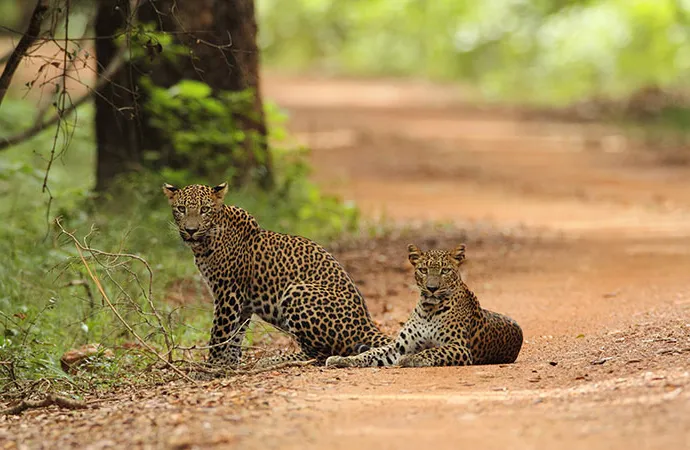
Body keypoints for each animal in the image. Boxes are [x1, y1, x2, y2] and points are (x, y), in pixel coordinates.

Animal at [159, 182, 390, 366]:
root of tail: (365, 324)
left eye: (205, 210)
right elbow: (235, 335)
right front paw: (229, 364)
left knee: (319, 354)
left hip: (297, 291)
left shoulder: (228, 293)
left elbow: (219, 332)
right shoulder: (243, 303)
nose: (190, 230)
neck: (206, 242)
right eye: (181, 209)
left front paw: (211, 367)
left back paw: (273, 360)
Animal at [326, 244, 520, 368]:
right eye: (423, 270)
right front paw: (342, 360)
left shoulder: (459, 347)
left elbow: (433, 351)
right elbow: (371, 353)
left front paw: (409, 359)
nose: (432, 288)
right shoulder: (399, 346)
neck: (429, 310)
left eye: (445, 270)